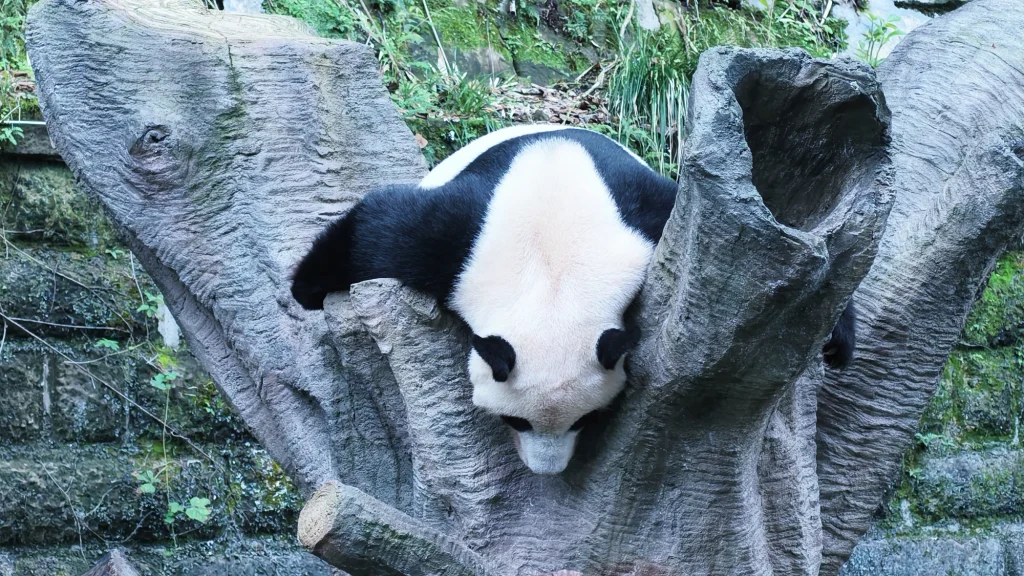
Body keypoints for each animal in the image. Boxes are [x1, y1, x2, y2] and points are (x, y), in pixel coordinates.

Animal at [291, 125, 856, 475]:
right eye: (513, 421)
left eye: (587, 420)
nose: (548, 471)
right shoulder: (464, 239)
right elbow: (381, 230)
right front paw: (304, 291)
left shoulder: (642, 225)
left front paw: (836, 340)